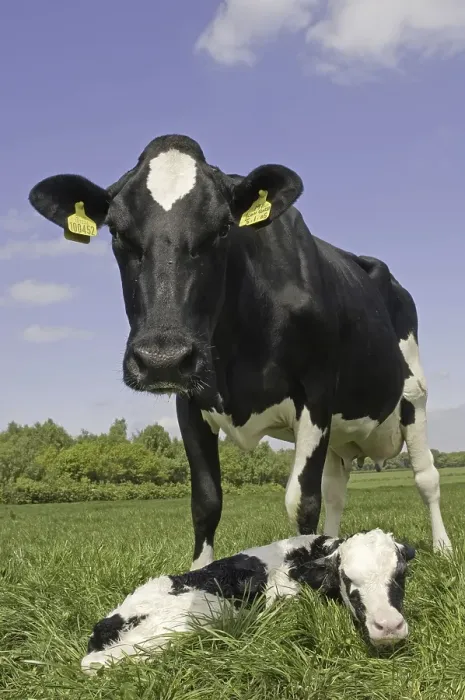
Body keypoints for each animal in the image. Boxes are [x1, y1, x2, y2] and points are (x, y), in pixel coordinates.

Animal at [28, 134, 452, 570]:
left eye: (223, 228)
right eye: (115, 230)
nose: (162, 359)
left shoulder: (317, 391)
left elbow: (302, 500)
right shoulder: (190, 400)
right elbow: (205, 502)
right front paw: (198, 574)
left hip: (413, 395)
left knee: (426, 476)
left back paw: (443, 548)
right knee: (337, 488)